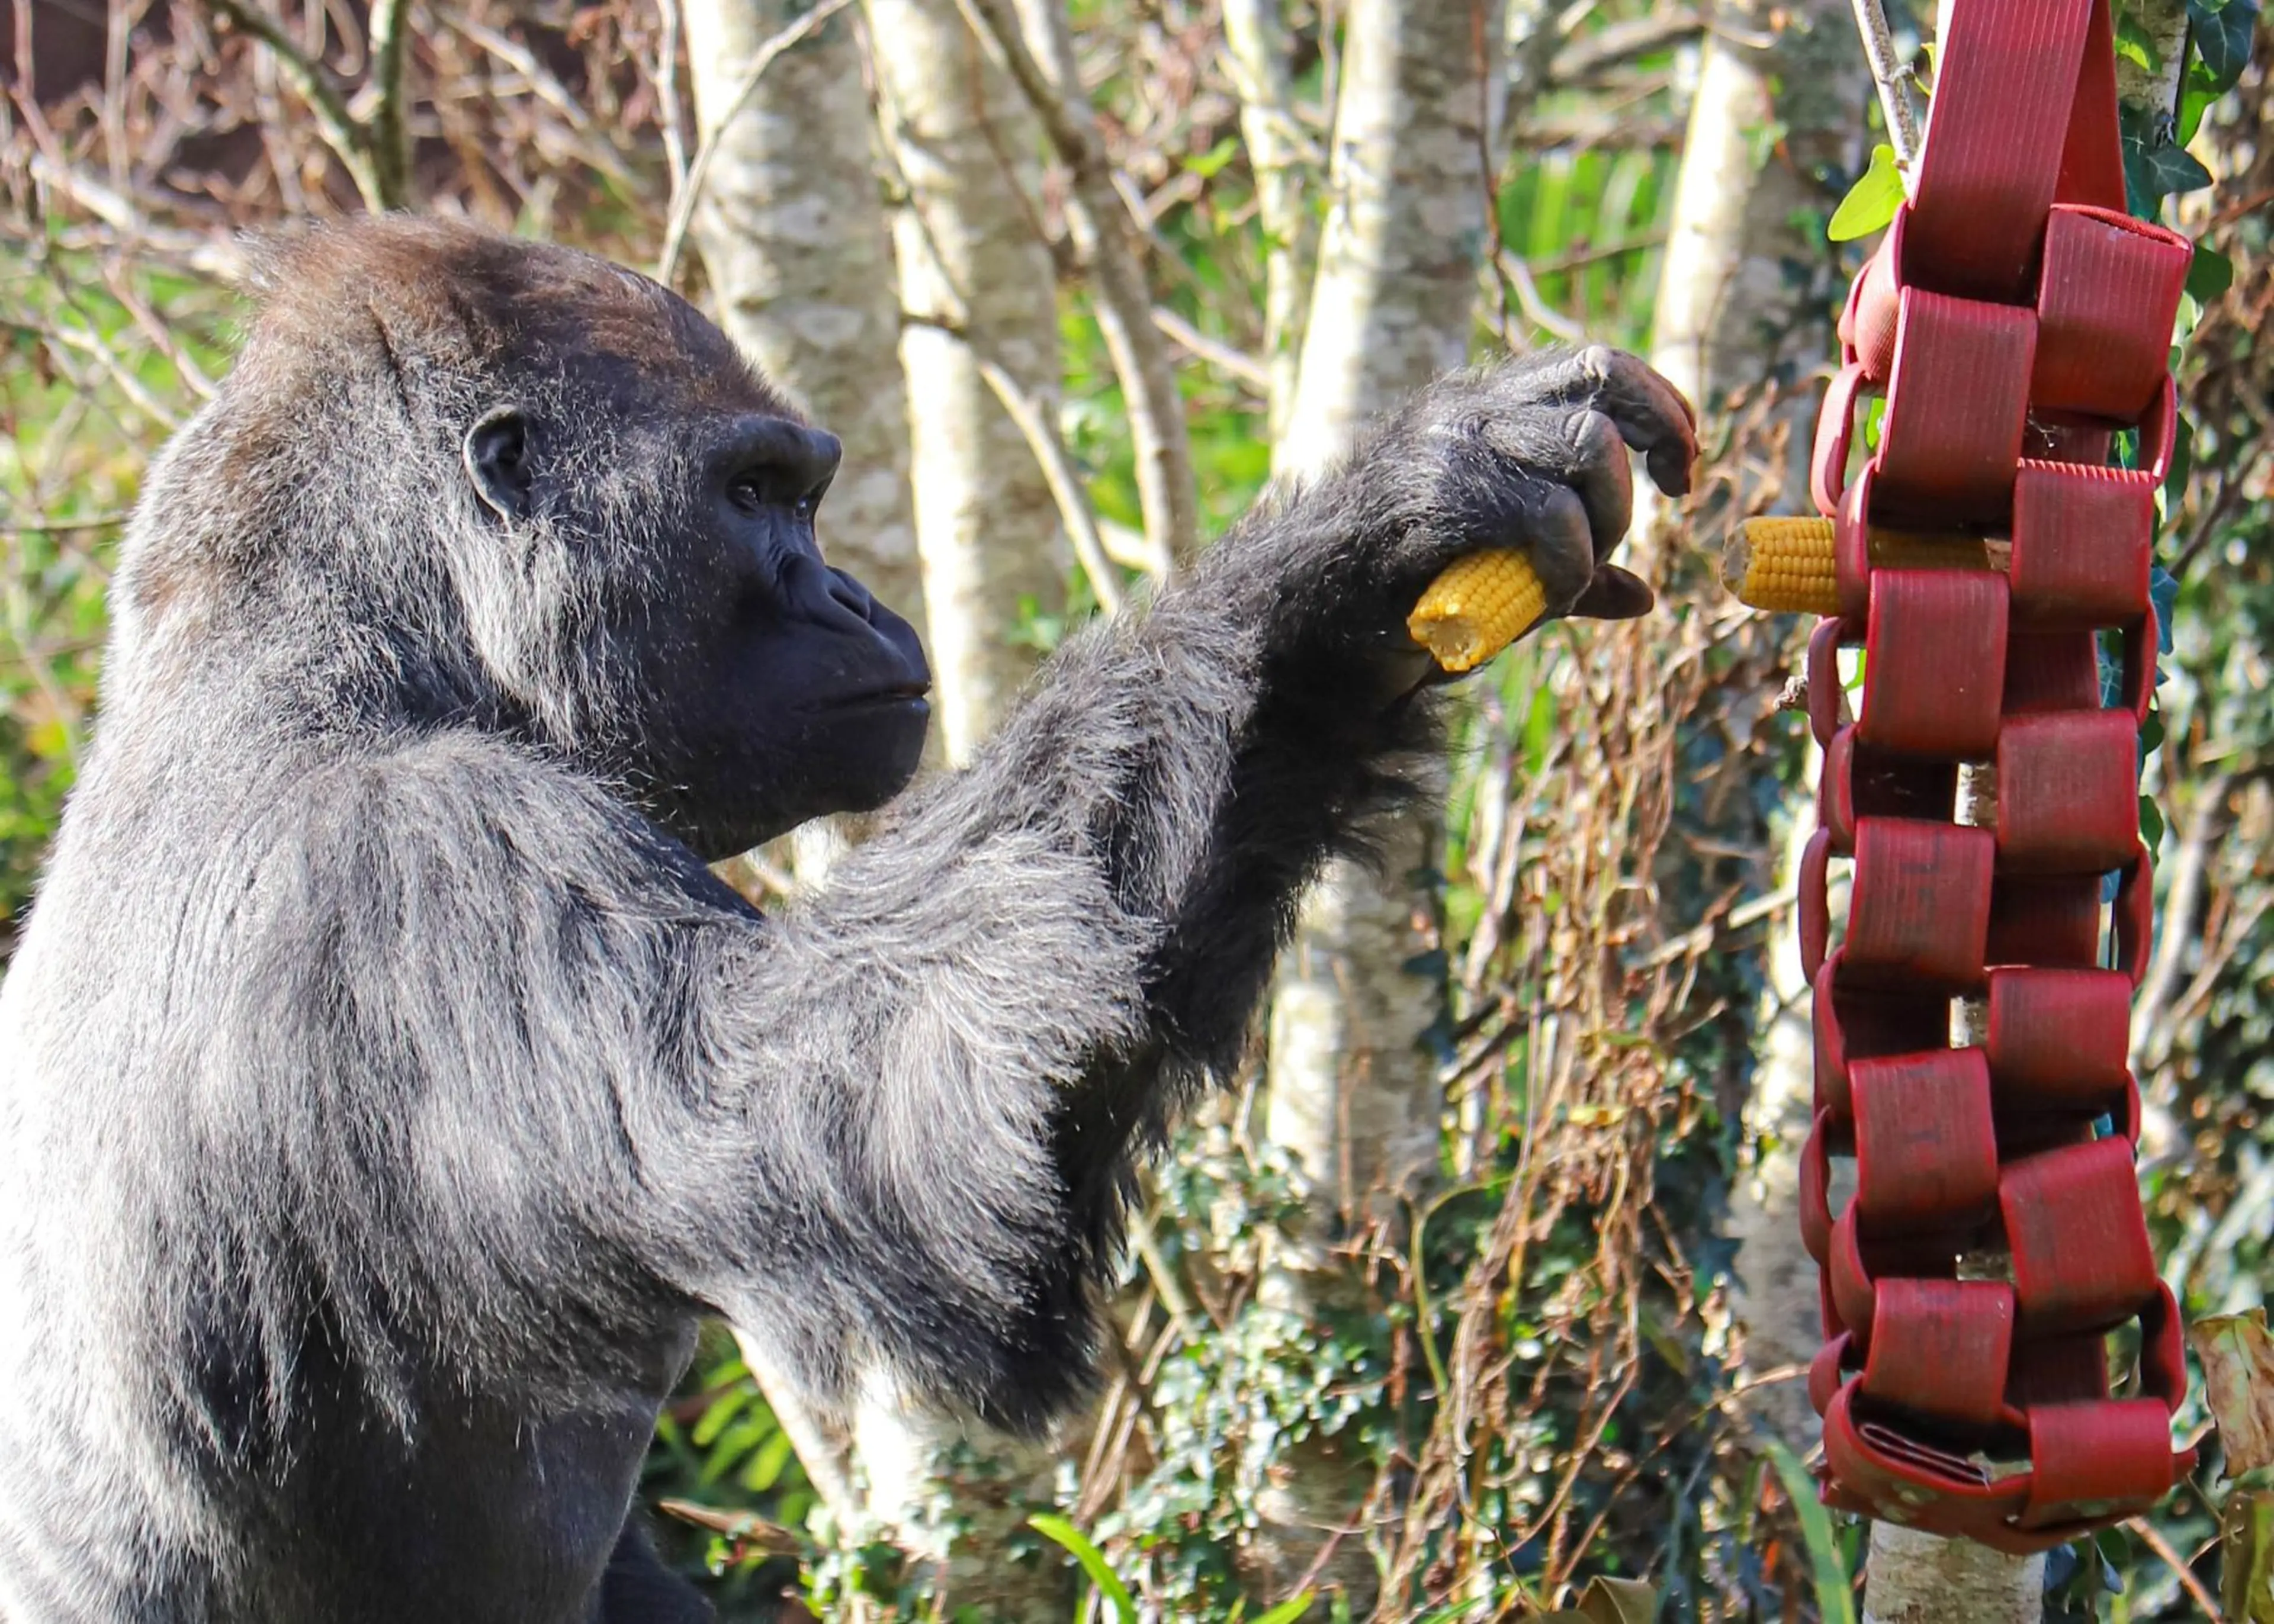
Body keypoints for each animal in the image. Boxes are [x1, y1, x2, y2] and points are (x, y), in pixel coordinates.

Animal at [0, 215, 1694, 1622]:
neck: (322, 650)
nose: (857, 599)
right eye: (758, 493)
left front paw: (1357, 630)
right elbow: (881, 1113)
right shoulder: (438, 864)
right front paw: (1362, 549)